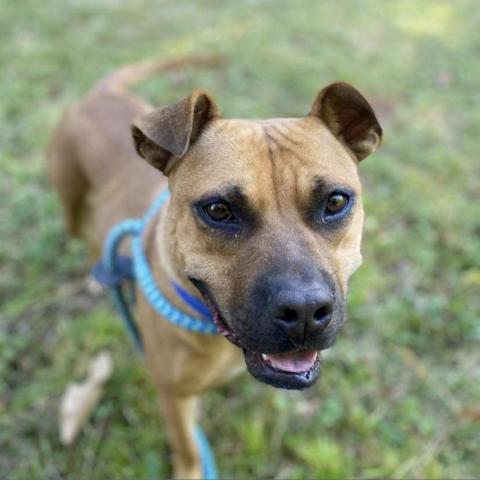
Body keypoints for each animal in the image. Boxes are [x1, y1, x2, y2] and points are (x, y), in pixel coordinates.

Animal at [47, 55, 382, 478]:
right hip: (70, 205)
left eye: (336, 201)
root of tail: (100, 94)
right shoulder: (173, 396)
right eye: (219, 210)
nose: (305, 310)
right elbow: (189, 449)